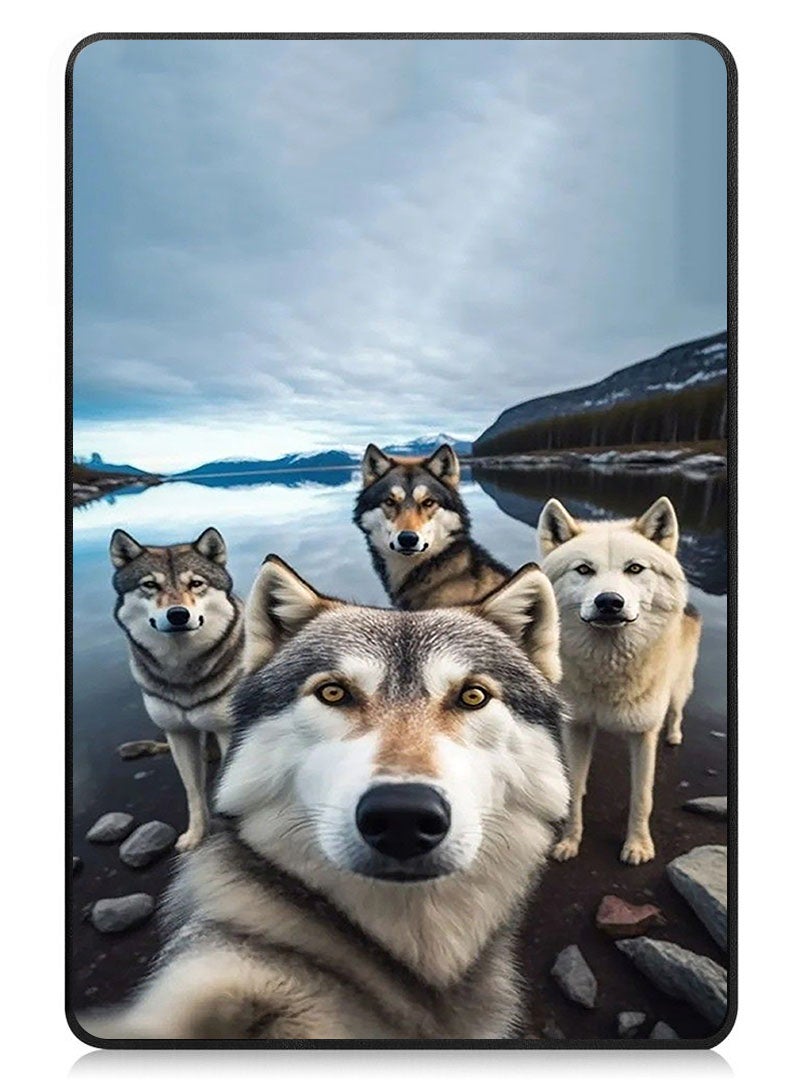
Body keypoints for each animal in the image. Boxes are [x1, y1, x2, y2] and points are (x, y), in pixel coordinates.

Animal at [110, 527, 245, 852]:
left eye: (196, 583)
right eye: (150, 585)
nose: (178, 614)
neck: (183, 672)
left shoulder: (228, 731)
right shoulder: (178, 734)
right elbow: (192, 790)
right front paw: (196, 835)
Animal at [538, 495, 701, 865]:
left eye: (635, 569)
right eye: (584, 570)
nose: (610, 602)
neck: (609, 668)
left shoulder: (643, 735)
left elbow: (642, 798)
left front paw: (638, 845)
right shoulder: (578, 726)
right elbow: (574, 790)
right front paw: (569, 841)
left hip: (679, 689)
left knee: (677, 710)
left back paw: (675, 735)